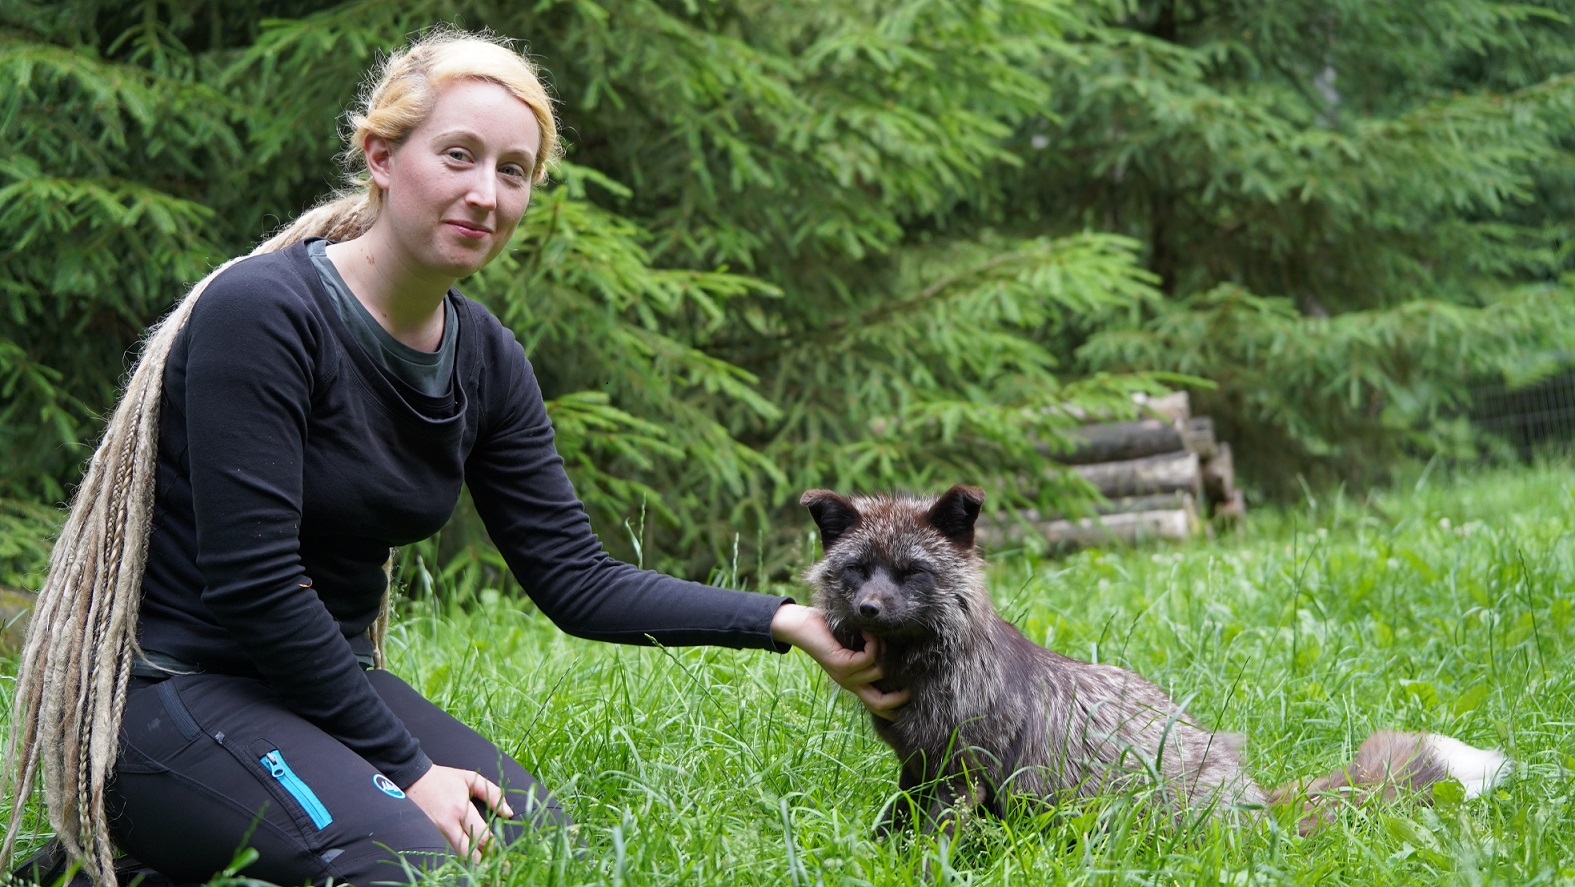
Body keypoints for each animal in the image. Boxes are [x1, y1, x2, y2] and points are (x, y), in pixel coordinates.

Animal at [800, 483, 1510, 839]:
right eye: (858, 569)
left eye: (911, 572)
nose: (868, 608)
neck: (928, 668)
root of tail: (1257, 802)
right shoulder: (918, 766)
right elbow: (894, 824)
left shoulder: (959, 770)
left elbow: (932, 843)